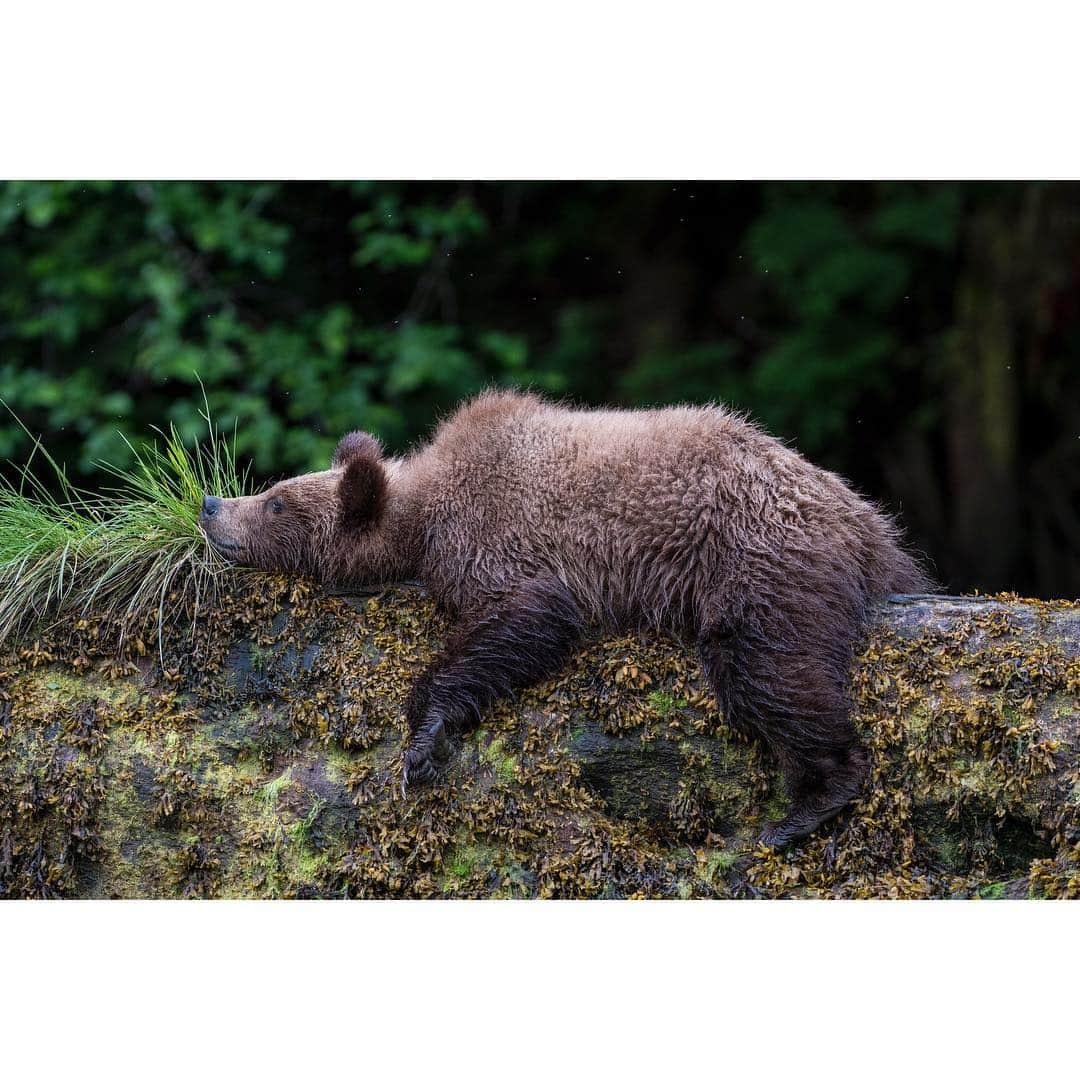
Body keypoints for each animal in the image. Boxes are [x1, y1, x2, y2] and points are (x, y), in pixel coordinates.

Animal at [198, 388, 933, 842]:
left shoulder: (507, 538)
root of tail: (862, 520)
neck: (423, 519)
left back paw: (805, 805)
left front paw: (423, 740)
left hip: (756, 556)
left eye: (274, 501)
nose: (211, 503)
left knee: (768, 667)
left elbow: (522, 620)